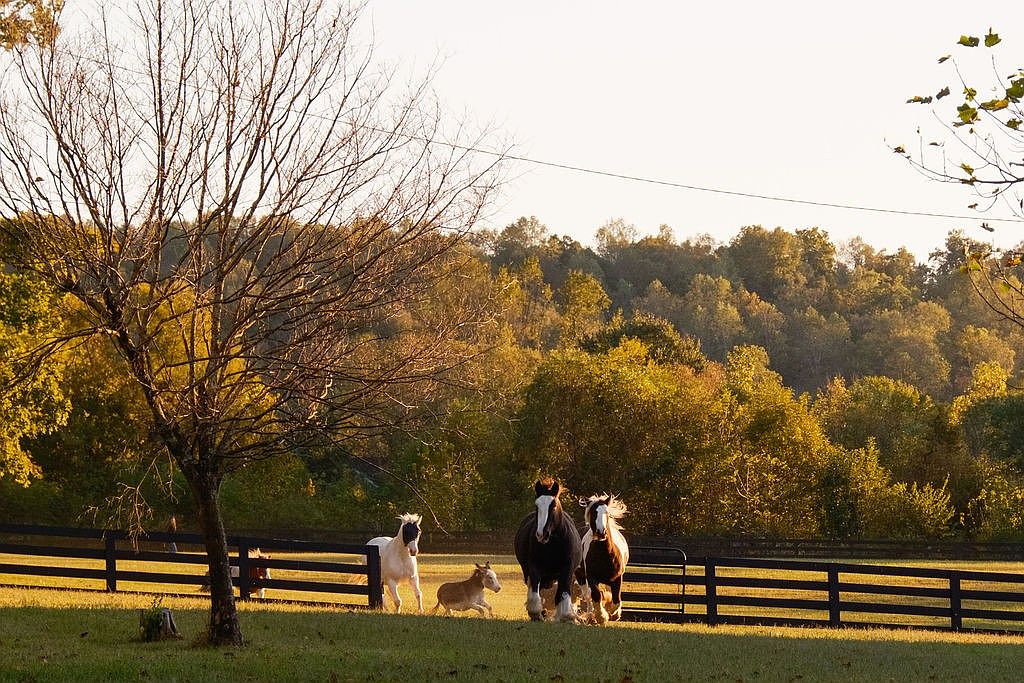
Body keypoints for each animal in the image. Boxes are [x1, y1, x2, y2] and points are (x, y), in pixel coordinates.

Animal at [513, 478, 583, 622]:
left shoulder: (567, 570)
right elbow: (535, 593)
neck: (553, 544)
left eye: (553, 505)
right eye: (537, 506)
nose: (541, 534)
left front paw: (567, 616)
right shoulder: (534, 567)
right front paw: (536, 613)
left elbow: (563, 594)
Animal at [580, 494, 629, 623]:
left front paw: (614, 614)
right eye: (593, 513)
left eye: (606, 512)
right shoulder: (591, 577)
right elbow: (596, 595)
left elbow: (616, 598)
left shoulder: (617, 577)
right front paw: (601, 616)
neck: (604, 554)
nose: (601, 533)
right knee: (588, 596)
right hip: (580, 576)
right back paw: (591, 616)